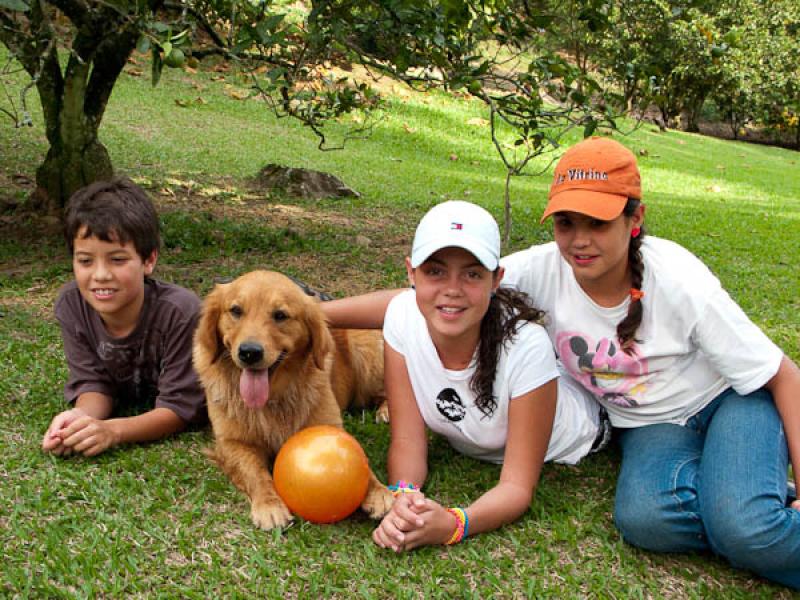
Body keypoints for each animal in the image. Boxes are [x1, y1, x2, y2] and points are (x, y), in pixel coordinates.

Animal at [194, 270, 394, 528]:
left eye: (280, 315)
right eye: (236, 311)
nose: (249, 352)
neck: (274, 398)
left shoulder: (330, 426)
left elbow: (361, 460)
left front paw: (378, 491)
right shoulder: (232, 442)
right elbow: (256, 473)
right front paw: (269, 504)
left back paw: (386, 410)